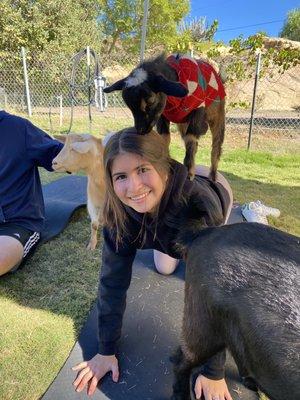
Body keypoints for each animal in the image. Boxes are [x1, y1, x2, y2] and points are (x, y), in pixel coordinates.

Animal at [103, 52, 225, 180]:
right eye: (130, 107)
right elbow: (165, 138)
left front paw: (189, 172)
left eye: (150, 102)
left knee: (216, 147)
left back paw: (213, 176)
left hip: (217, 116)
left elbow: (190, 139)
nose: (141, 130)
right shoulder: (162, 116)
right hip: (183, 123)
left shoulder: (198, 109)